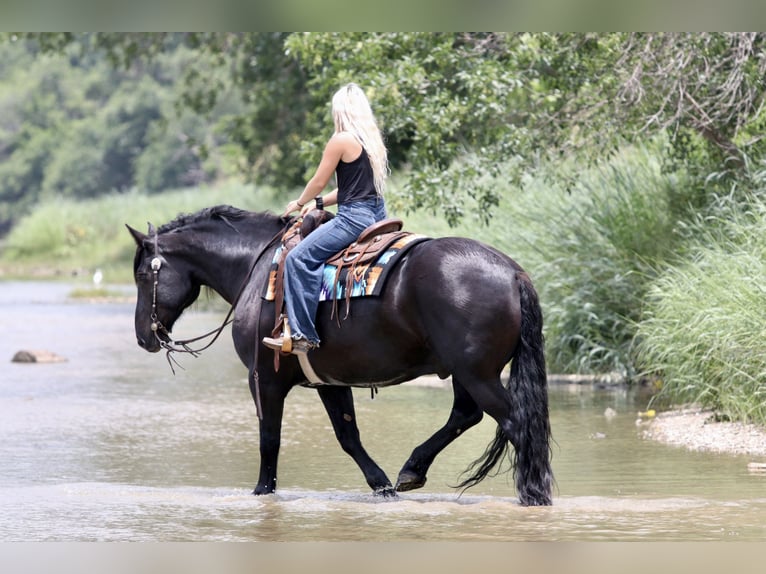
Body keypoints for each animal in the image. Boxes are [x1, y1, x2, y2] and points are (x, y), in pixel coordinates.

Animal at [127, 204, 553, 506]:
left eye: (143, 276)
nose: (144, 337)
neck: (257, 266)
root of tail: (512, 272)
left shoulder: (263, 379)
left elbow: (269, 438)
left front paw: (262, 492)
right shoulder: (329, 381)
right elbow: (348, 435)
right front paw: (381, 485)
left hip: (478, 374)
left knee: (516, 424)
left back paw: (534, 493)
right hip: (465, 373)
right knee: (466, 416)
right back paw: (411, 470)